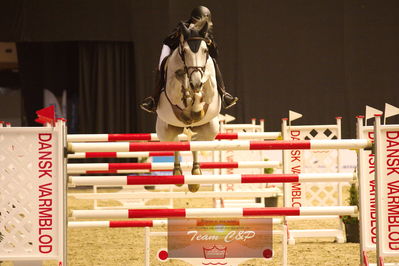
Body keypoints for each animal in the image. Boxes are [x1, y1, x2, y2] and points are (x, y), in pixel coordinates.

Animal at [155, 20, 222, 191]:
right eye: (184, 51)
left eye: (205, 50)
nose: (196, 82)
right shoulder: (171, 89)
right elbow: (178, 85)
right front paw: (186, 86)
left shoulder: (210, 88)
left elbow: (206, 87)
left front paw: (196, 106)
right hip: (166, 131)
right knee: (176, 144)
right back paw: (178, 174)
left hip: (210, 129)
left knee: (196, 141)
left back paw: (196, 175)